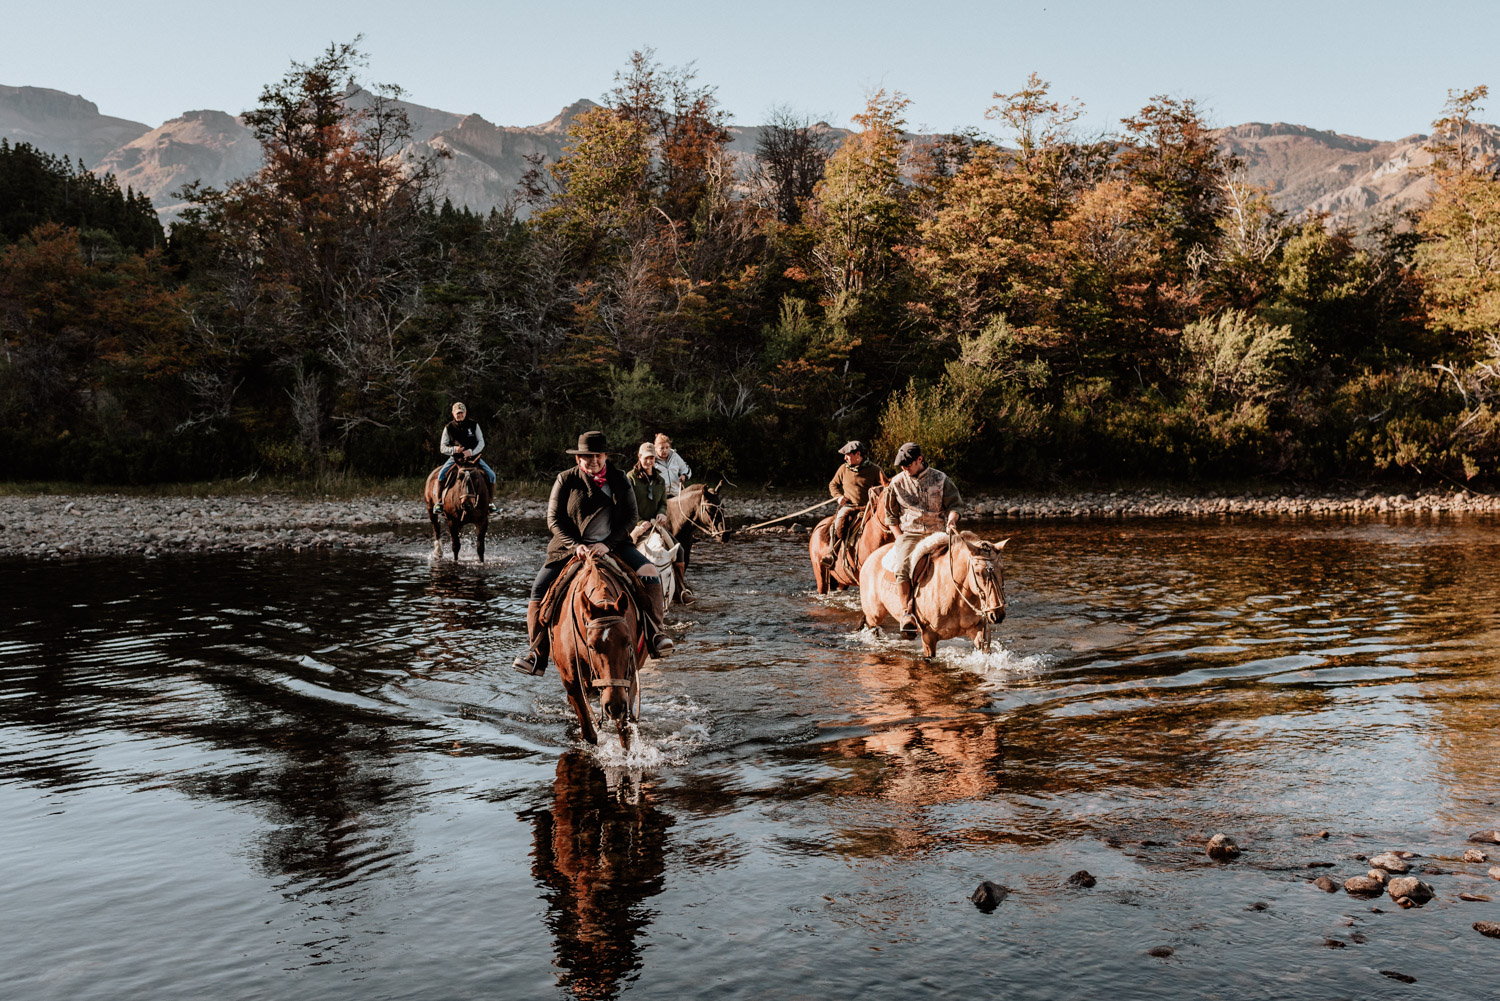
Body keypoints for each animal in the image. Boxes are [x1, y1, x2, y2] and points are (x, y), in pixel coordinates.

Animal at [552, 552, 645, 747]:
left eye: (627, 642)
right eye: (591, 646)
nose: (614, 706)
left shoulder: (627, 681)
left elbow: (625, 734)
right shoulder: (572, 683)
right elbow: (589, 734)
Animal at [858, 528, 1008, 660]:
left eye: (1002, 569)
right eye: (978, 572)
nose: (997, 614)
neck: (955, 597)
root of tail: (871, 556)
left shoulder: (976, 629)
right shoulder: (928, 636)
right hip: (874, 615)